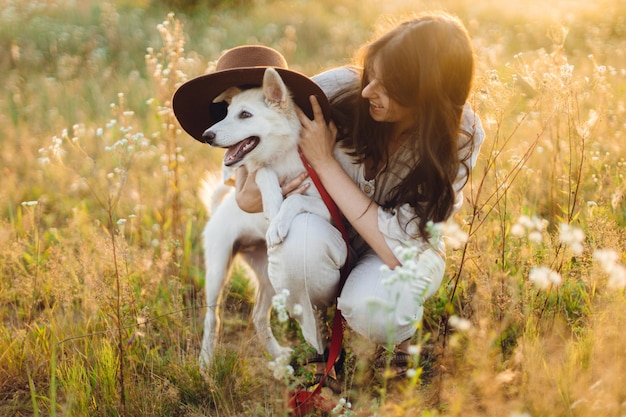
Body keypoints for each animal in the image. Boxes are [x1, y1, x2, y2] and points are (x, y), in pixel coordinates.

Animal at [200, 67, 336, 368]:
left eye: (245, 115)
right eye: (227, 113)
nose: (207, 135)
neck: (282, 158)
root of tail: (216, 211)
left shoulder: (330, 210)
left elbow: (295, 198)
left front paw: (277, 222)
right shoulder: (263, 172)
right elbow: (264, 172)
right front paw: (273, 207)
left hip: (270, 278)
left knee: (258, 316)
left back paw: (278, 355)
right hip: (217, 270)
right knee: (212, 318)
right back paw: (205, 362)